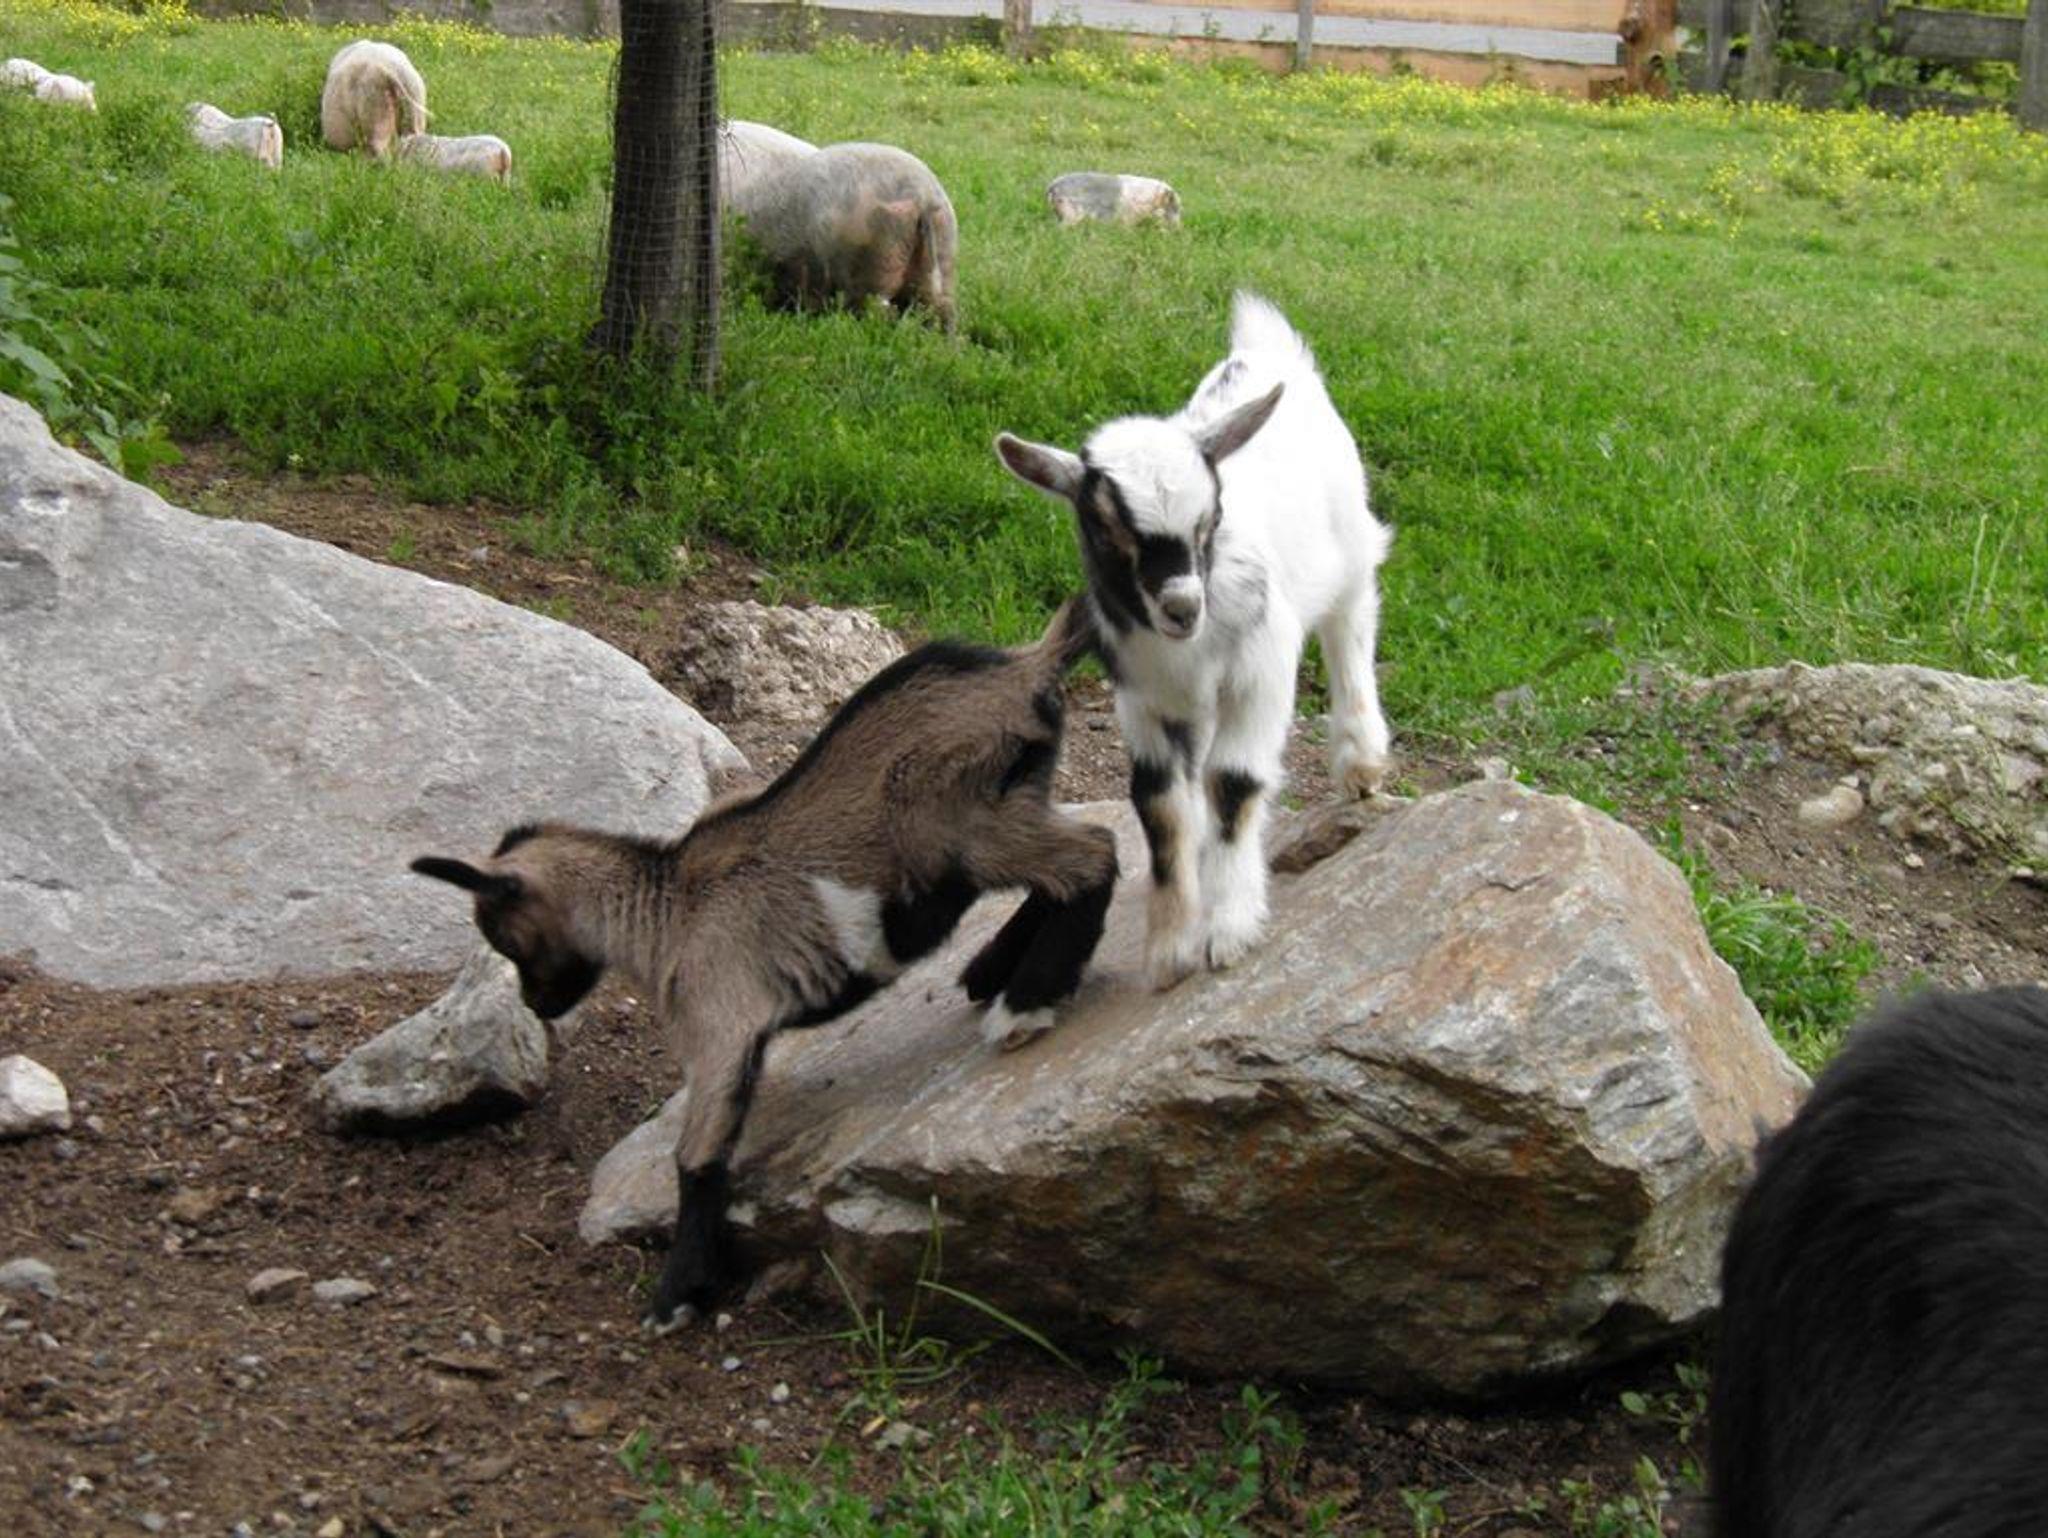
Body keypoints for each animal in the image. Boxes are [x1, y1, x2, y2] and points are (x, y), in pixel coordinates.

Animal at [410, 598, 1116, 1330]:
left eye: (507, 940)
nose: (537, 1005)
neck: (667, 912)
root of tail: (1028, 665)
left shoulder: (721, 1021)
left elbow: (696, 1154)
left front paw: (678, 1294)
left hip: (962, 825)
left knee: (1093, 853)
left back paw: (1026, 1003)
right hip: (1006, 809)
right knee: (1062, 869)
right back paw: (993, 973)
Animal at [995, 292, 1391, 989]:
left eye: (1213, 517)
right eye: (1104, 527)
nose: (1182, 606)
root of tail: (1265, 352)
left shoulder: (1260, 670)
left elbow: (1234, 780)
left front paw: (1228, 928)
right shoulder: (1143, 698)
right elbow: (1159, 804)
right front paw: (1171, 942)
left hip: (1350, 544)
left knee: (1351, 627)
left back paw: (1361, 758)